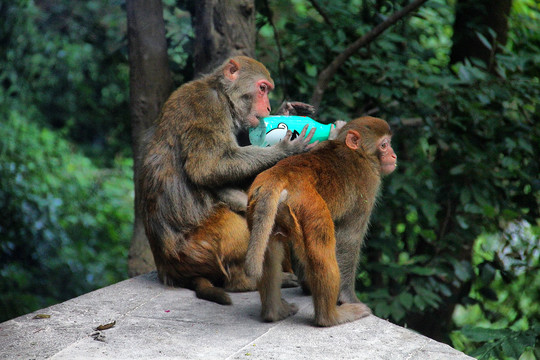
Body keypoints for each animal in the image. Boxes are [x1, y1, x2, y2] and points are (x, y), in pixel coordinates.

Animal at [139, 55, 316, 304]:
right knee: (235, 223)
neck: (222, 96)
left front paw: (287, 113)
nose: (268, 107)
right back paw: (246, 282)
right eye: (262, 88)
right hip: (195, 251)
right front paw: (286, 148)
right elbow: (207, 167)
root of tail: (170, 270)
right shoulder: (207, 107)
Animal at [245, 117, 396, 326]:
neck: (359, 154)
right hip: (309, 208)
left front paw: (335, 128)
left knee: (270, 249)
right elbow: (348, 239)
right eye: (384, 145)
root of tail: (279, 175)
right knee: (321, 246)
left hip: (259, 207)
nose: (393, 155)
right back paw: (331, 317)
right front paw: (348, 297)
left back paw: (274, 312)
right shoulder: (368, 183)